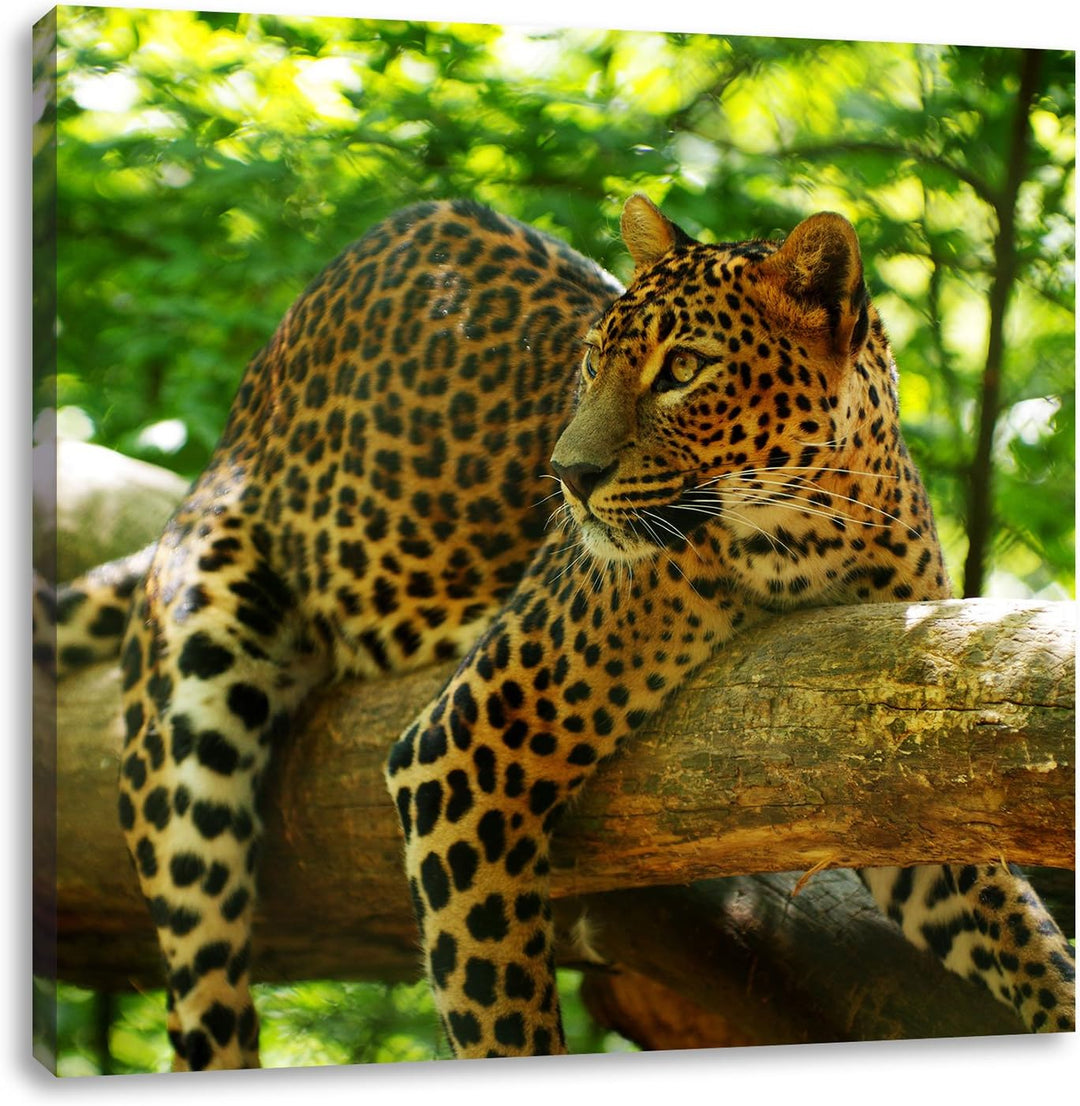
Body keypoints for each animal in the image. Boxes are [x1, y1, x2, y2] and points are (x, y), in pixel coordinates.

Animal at [41, 195, 1074, 1069]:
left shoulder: (890, 770)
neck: (812, 531)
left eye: (683, 370)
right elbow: (500, 1013)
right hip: (193, 732)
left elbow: (1014, 921)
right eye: (592, 360)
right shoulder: (460, 753)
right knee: (207, 988)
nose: (568, 475)